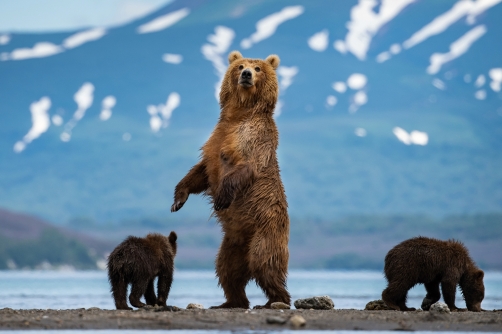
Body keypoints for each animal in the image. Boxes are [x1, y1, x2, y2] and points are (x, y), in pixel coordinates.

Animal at [172, 51, 290, 310]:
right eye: (240, 65)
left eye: (258, 68)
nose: (246, 74)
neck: (240, 114)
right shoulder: (215, 140)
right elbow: (200, 173)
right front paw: (178, 199)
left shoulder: (253, 139)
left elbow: (245, 167)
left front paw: (222, 198)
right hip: (232, 243)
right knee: (227, 269)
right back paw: (230, 302)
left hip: (266, 230)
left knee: (265, 263)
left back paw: (276, 300)